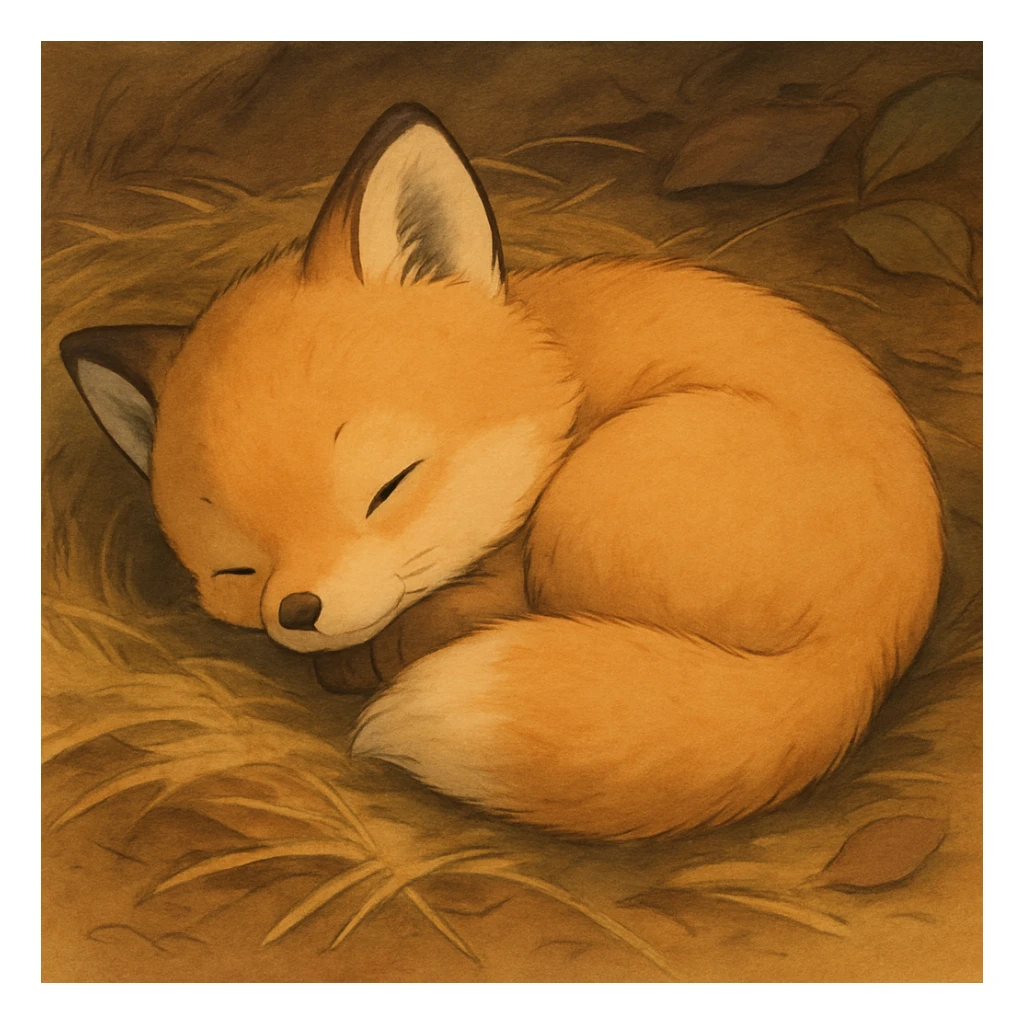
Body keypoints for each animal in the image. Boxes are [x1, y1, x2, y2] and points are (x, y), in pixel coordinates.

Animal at [60, 103, 943, 841]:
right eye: (238, 568)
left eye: (389, 486)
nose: (301, 610)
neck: (563, 372)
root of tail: (871, 649)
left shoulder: (509, 564)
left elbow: (453, 615)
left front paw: (380, 652)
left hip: (592, 501)